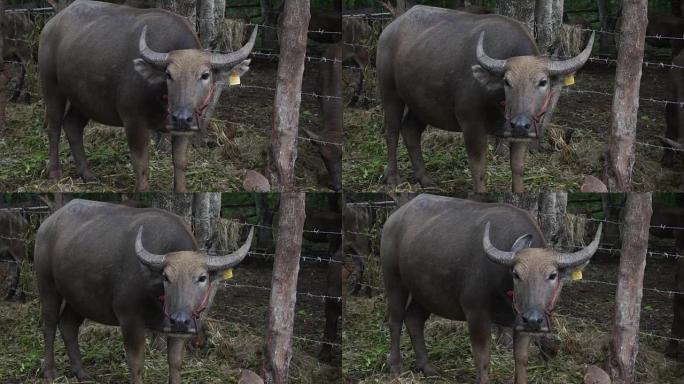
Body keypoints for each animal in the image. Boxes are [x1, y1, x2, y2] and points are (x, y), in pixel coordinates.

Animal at [34, 200, 254, 382]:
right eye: (166, 277)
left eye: (202, 277)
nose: (180, 319)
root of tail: (47, 224)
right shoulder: (130, 321)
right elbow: (136, 364)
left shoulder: (179, 331)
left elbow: (175, 363)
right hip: (47, 285)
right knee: (49, 323)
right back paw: (50, 371)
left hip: (79, 298)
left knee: (68, 325)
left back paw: (81, 373)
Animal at [40, 0, 260, 192]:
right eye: (169, 74)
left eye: (205, 75)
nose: (181, 117)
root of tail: (51, 24)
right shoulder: (133, 122)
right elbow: (141, 164)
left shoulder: (185, 128)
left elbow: (180, 162)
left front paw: (181, 190)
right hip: (52, 86)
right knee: (54, 128)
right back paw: (55, 173)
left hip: (83, 98)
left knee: (73, 125)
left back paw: (87, 174)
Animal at [376, 6, 596, 192]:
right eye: (507, 81)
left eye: (543, 82)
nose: (519, 124)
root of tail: (389, 30)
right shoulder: (471, 125)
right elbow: (479, 170)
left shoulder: (524, 134)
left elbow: (518, 167)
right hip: (389, 90)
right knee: (392, 130)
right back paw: (393, 178)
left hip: (421, 103)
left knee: (410, 130)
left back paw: (425, 179)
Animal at [382, 195, 600, 384]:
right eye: (516, 274)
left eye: (553, 275)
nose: (533, 319)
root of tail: (393, 218)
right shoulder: (476, 316)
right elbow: (483, 359)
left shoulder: (520, 324)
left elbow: (521, 359)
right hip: (393, 280)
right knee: (395, 321)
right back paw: (395, 366)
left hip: (424, 292)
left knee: (414, 319)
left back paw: (426, 367)